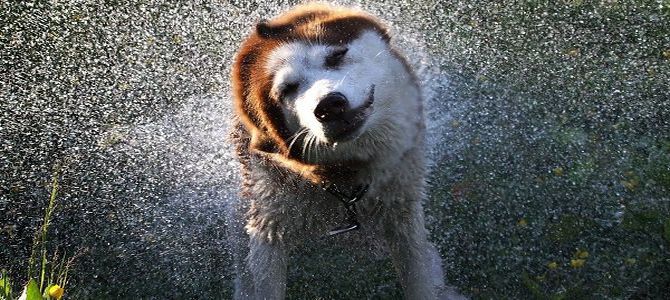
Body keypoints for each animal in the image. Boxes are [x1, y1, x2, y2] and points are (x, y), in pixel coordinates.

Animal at [228, 2, 464, 300]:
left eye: (336, 56)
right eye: (287, 89)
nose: (329, 106)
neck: (346, 179)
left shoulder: (401, 206)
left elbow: (418, 276)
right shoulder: (269, 225)